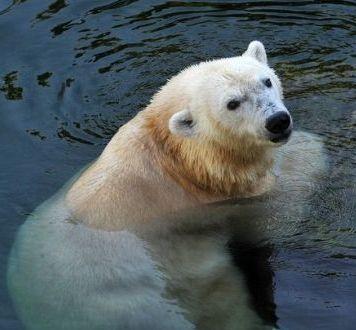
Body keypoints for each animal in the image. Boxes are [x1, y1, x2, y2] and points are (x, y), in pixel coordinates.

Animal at [7, 42, 326, 330]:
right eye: (232, 103)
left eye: (266, 80)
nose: (277, 121)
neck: (176, 158)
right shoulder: (220, 204)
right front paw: (307, 152)